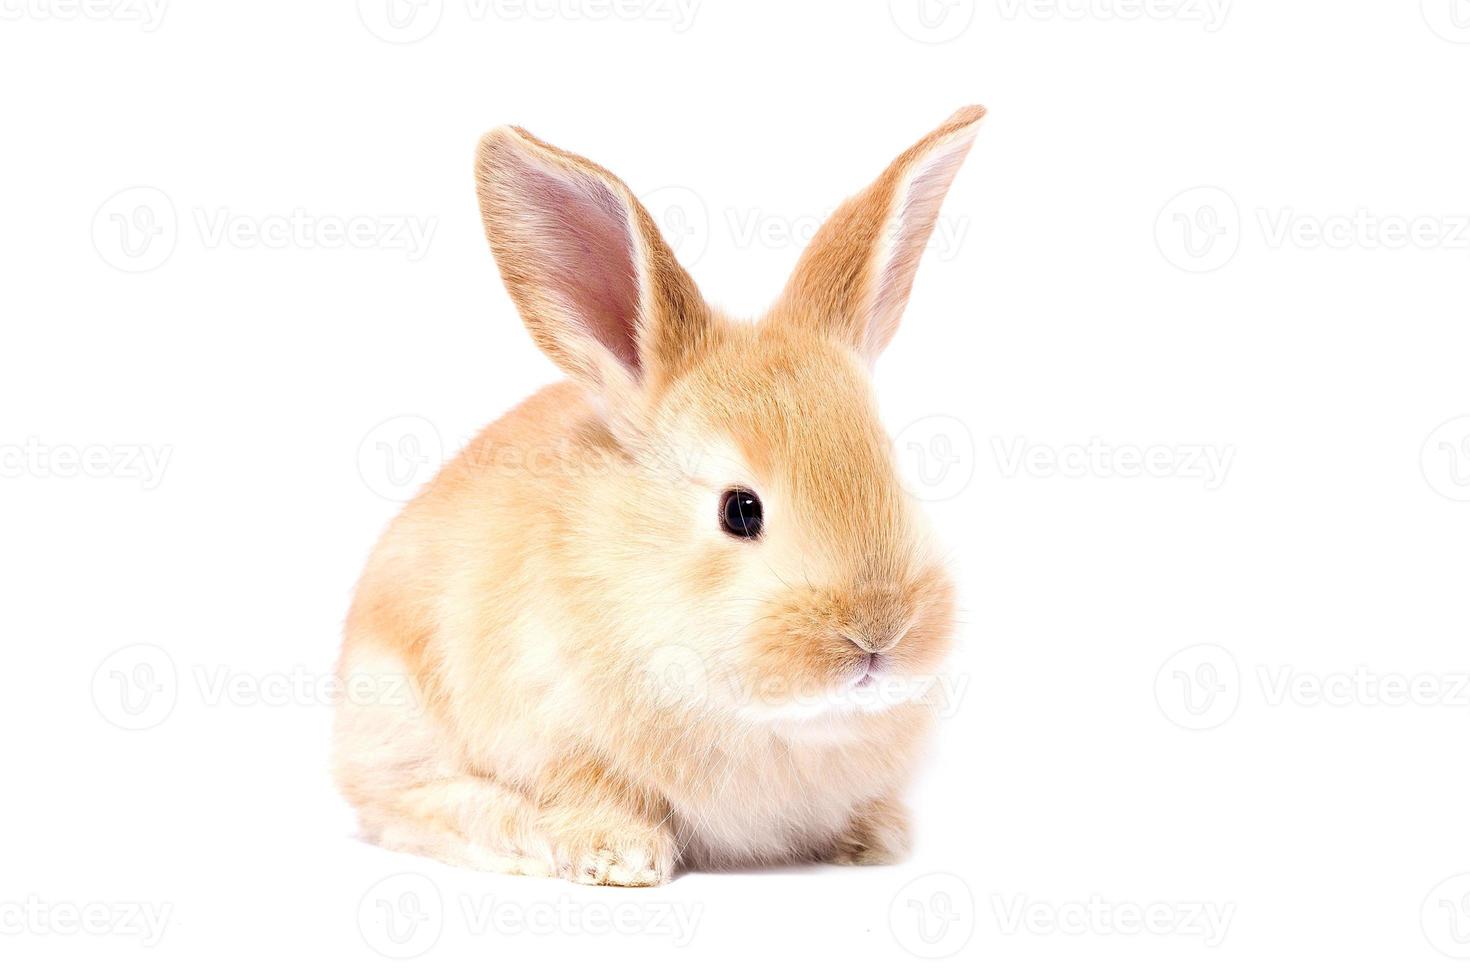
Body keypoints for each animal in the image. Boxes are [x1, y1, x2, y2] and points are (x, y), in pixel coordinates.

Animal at [336, 103, 987, 887]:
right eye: (740, 510)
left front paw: (879, 838)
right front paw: (620, 855)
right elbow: (585, 789)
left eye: (890, 469)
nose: (877, 634)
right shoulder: (551, 729)